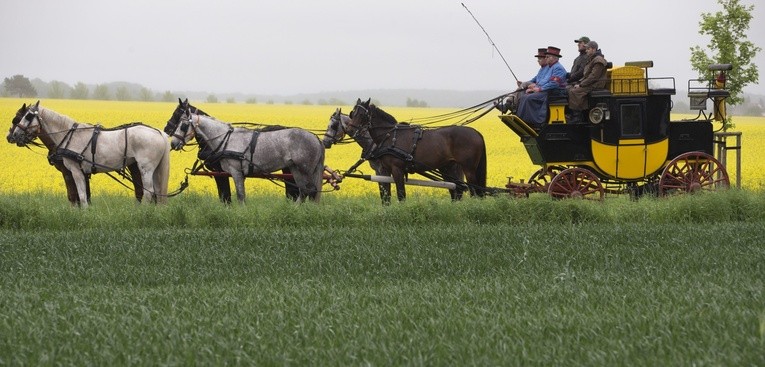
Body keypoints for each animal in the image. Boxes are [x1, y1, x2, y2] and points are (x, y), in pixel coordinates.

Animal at [169, 106, 324, 204]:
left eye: (183, 125)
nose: (173, 143)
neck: (226, 139)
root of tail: (315, 138)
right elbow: (238, 195)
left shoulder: (236, 172)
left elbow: (239, 196)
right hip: (295, 169)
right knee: (304, 191)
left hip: (306, 169)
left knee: (310, 191)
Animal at [344, 98, 484, 203]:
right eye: (352, 113)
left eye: (362, 115)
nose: (350, 129)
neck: (390, 135)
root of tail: (476, 133)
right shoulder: (385, 170)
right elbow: (386, 193)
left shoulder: (397, 169)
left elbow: (401, 195)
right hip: (448, 168)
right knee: (458, 190)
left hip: (469, 169)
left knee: (474, 191)